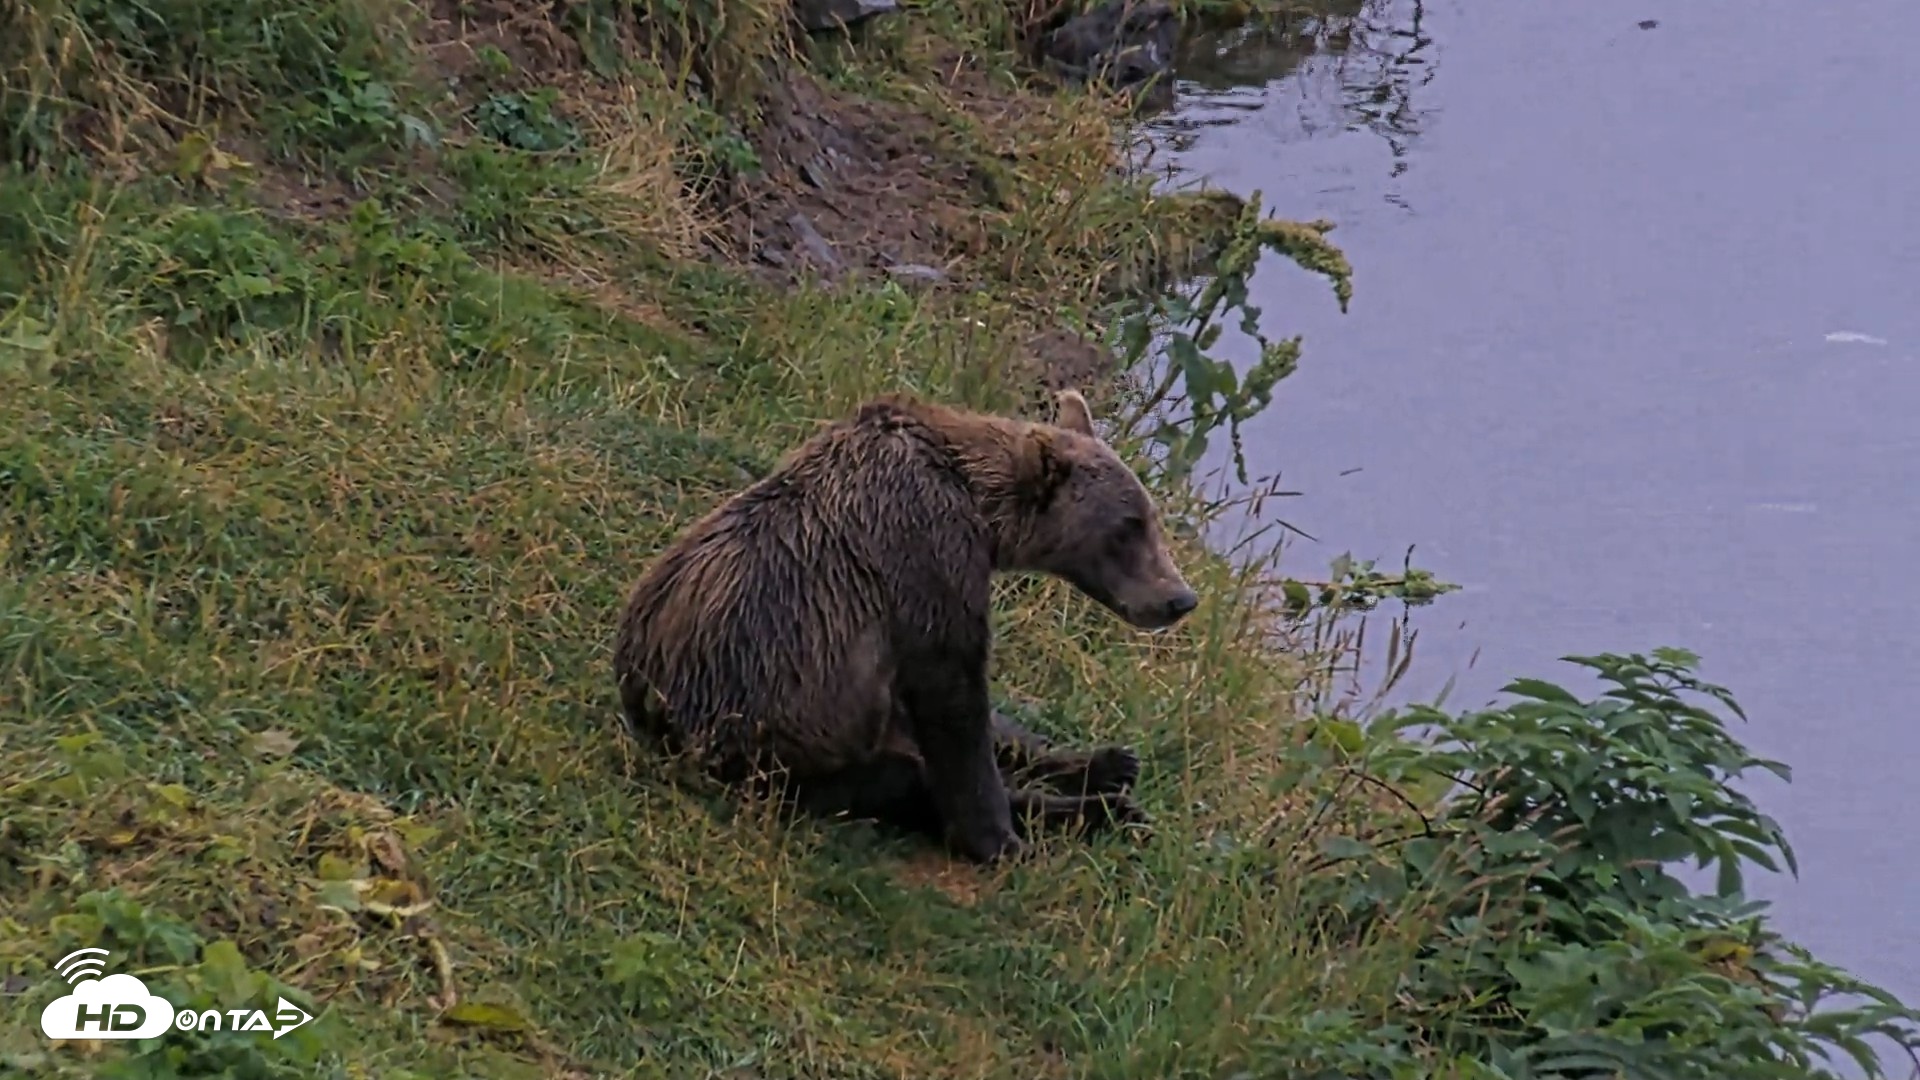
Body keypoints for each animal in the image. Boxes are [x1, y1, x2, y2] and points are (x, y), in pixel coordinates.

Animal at [611, 388, 1199, 864]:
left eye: (1150, 518)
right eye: (1128, 527)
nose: (1180, 598)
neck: (981, 510)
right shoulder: (926, 557)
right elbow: (954, 704)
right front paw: (1000, 841)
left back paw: (1110, 767)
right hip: (776, 751)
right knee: (903, 779)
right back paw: (1101, 808)